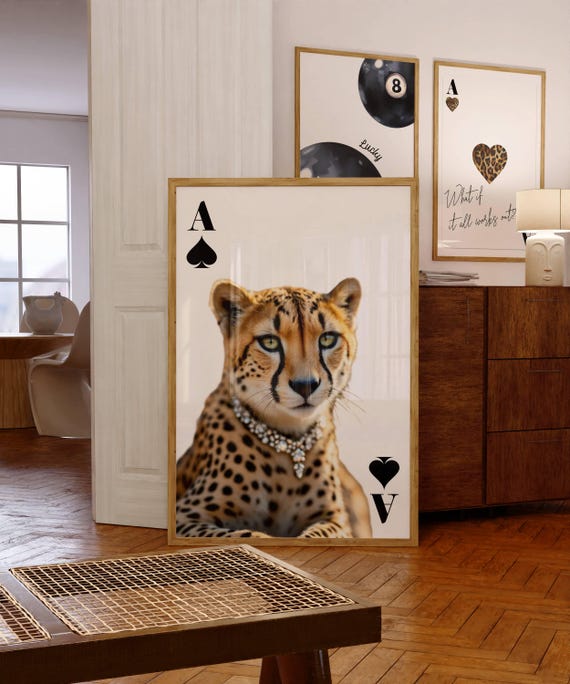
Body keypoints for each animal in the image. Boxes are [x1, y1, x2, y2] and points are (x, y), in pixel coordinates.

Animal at [175, 277, 372, 539]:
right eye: (269, 342)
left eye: (327, 339)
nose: (305, 385)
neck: (288, 440)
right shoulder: (186, 516)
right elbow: (248, 534)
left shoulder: (337, 520)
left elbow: (315, 535)